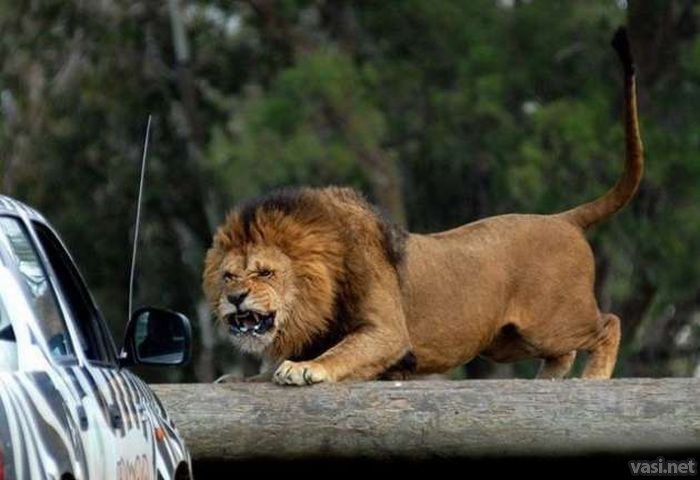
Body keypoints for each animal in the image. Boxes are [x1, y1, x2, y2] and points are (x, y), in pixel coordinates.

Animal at [201, 27, 640, 386]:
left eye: (265, 272)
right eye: (228, 276)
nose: (236, 298)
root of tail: (563, 219)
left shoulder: (387, 332)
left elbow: (343, 351)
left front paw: (304, 368)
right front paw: (242, 377)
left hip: (552, 321)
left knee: (608, 323)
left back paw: (594, 378)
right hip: (508, 340)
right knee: (563, 352)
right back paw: (545, 382)